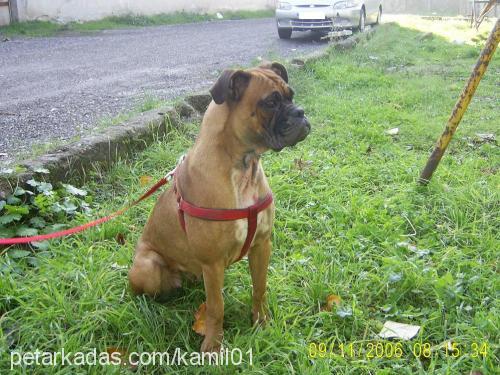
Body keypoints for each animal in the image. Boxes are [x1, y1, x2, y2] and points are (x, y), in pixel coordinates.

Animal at [129, 61, 308, 352]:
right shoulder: (212, 264)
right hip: (148, 267)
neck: (244, 165)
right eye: (271, 102)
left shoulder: (262, 246)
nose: (301, 112)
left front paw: (261, 322)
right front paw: (213, 344)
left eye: (291, 95)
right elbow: (216, 307)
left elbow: (259, 288)